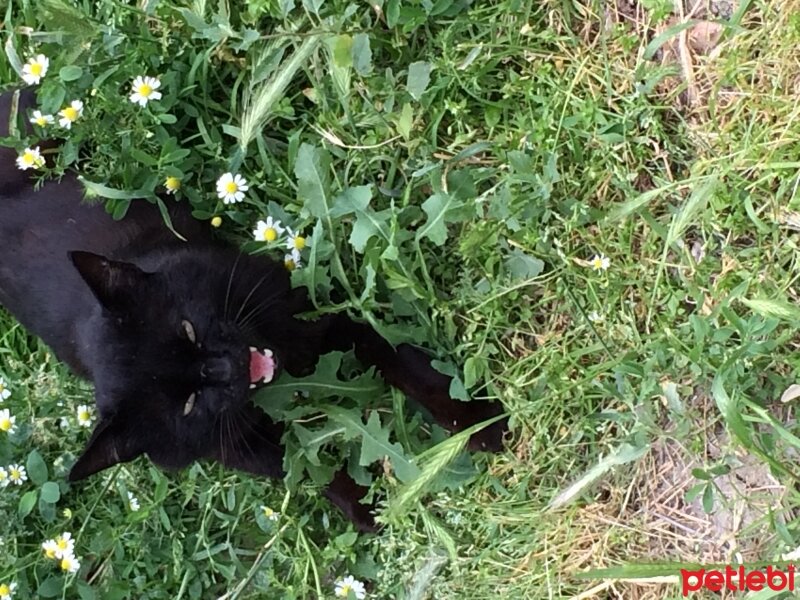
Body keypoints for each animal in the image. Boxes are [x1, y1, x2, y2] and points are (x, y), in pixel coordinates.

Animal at [0, 89, 506, 528]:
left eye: (187, 329)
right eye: (187, 405)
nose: (224, 368)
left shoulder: (314, 314)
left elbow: (400, 359)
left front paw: (475, 422)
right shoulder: (229, 443)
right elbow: (289, 462)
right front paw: (366, 507)